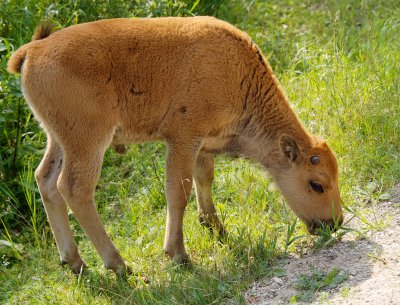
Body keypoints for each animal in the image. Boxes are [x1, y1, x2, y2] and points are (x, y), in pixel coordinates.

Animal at [6, 16, 344, 274]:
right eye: (317, 184)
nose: (334, 223)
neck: (239, 75)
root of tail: (33, 49)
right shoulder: (183, 138)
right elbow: (178, 192)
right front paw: (179, 255)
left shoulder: (203, 143)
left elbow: (204, 178)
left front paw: (215, 227)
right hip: (88, 143)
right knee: (74, 189)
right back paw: (119, 265)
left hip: (57, 140)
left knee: (45, 180)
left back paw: (75, 262)